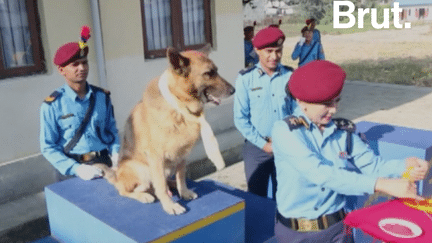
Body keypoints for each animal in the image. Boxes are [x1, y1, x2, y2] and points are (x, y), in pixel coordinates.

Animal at [99, 45, 235, 215]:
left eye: (216, 71)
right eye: (208, 73)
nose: (233, 90)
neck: (179, 107)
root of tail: (117, 177)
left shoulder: (182, 155)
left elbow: (181, 176)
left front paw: (183, 192)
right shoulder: (156, 157)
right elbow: (160, 186)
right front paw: (170, 205)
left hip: (167, 167)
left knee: (164, 181)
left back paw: (171, 185)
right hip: (143, 171)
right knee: (128, 190)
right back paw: (144, 195)